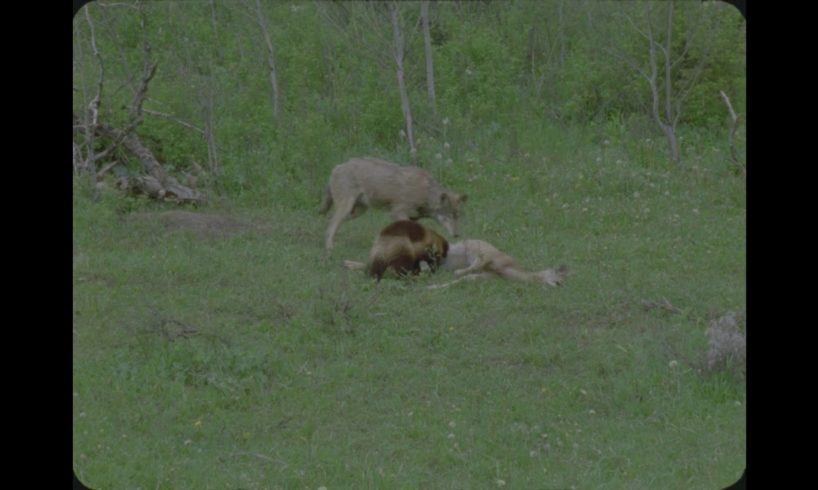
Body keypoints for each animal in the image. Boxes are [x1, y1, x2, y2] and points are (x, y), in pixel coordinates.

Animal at [318, 158, 462, 251]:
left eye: (457, 217)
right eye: (449, 216)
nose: (456, 235)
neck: (426, 193)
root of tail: (338, 166)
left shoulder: (411, 218)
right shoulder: (397, 213)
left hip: (356, 212)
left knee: (329, 222)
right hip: (347, 208)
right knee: (332, 223)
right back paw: (330, 247)